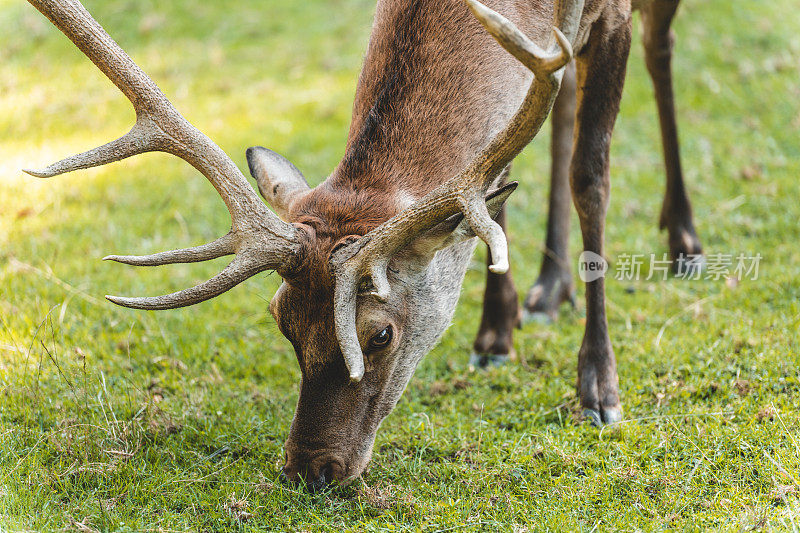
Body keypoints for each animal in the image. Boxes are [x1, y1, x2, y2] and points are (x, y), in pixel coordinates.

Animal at [23, 0, 700, 490]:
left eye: (379, 335)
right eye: (284, 321)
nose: (310, 470)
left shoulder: (610, 14)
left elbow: (592, 177)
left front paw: (599, 390)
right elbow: (494, 194)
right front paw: (494, 335)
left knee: (661, 47)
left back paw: (683, 239)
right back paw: (545, 291)